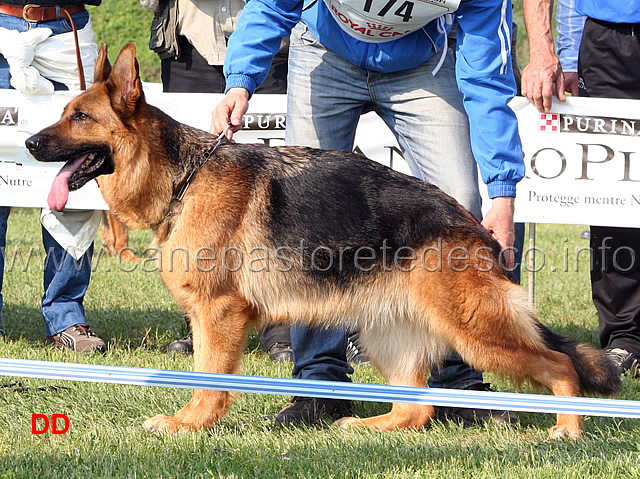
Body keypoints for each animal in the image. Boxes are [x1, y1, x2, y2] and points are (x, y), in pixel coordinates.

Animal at [26, 45, 620, 438]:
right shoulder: (207, 316)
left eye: (81, 117)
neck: (183, 178)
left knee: (560, 365)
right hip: (387, 335)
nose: (29, 143)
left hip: (474, 329)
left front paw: (189, 425)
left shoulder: (218, 315)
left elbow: (208, 380)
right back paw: (365, 425)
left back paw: (567, 431)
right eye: (63, 113)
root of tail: (470, 225)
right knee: (417, 408)